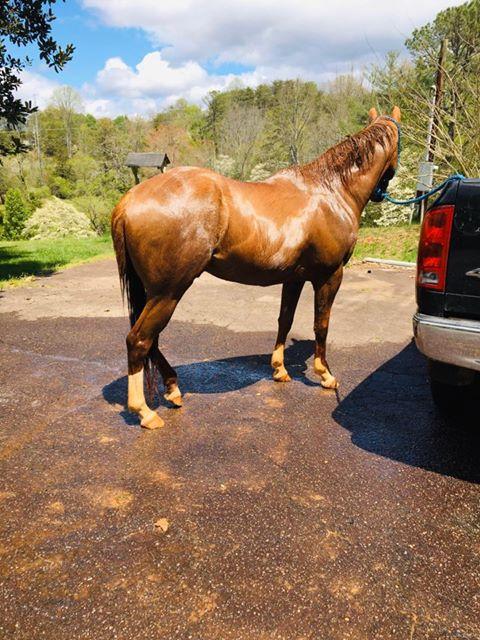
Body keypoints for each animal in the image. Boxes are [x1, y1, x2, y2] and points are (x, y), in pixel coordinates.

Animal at [111, 106, 400, 429]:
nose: (380, 192)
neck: (331, 191)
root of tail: (127, 202)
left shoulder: (294, 278)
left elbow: (285, 320)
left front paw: (279, 370)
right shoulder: (329, 275)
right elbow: (321, 325)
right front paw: (325, 374)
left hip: (156, 293)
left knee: (151, 341)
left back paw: (173, 389)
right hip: (168, 292)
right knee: (139, 340)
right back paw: (145, 411)